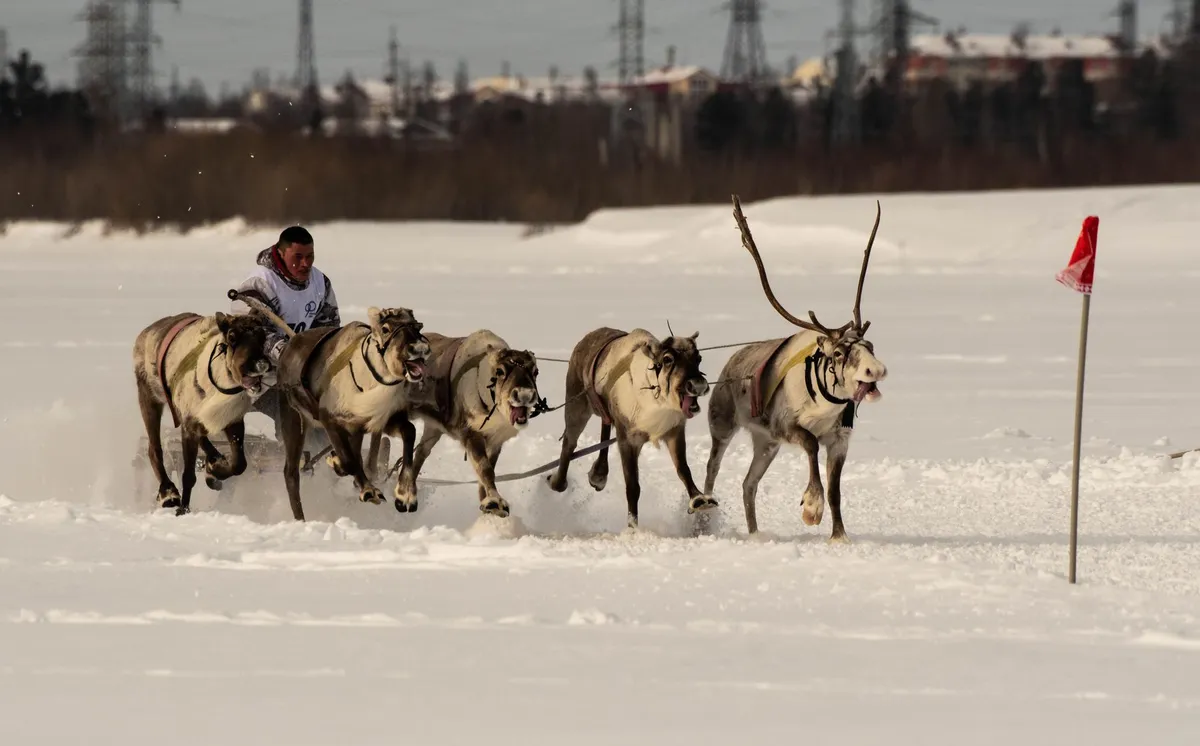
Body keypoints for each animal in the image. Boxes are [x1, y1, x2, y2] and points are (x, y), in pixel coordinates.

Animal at [132, 309, 273, 516]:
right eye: (232, 336)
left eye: (262, 336)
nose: (261, 365)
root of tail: (144, 333)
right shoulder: (189, 423)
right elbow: (188, 475)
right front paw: (183, 509)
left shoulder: (232, 419)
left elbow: (239, 464)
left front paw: (216, 471)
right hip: (149, 397)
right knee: (154, 447)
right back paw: (168, 493)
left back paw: (214, 461)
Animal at [273, 307, 430, 521]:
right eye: (385, 328)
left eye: (417, 326)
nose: (419, 348)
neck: (369, 381)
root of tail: (288, 346)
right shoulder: (329, 419)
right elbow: (349, 461)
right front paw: (369, 489)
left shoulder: (382, 420)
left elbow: (410, 432)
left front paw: (405, 495)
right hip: (294, 420)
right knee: (291, 473)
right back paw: (301, 519)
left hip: (354, 430)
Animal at [546, 326, 713, 530]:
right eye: (667, 359)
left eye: (698, 357)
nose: (698, 385)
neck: (653, 396)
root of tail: (586, 339)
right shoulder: (628, 439)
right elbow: (632, 486)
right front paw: (633, 526)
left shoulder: (674, 432)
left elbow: (683, 469)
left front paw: (699, 499)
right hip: (577, 408)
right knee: (569, 444)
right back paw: (558, 482)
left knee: (604, 426)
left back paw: (598, 475)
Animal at [704, 196, 888, 542]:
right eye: (839, 352)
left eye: (870, 346)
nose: (877, 370)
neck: (824, 402)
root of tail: (731, 362)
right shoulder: (786, 426)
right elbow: (812, 446)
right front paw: (811, 509)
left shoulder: (839, 439)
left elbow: (836, 491)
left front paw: (839, 536)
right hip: (723, 425)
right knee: (712, 469)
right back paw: (702, 515)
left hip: (766, 443)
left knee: (748, 483)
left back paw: (754, 534)